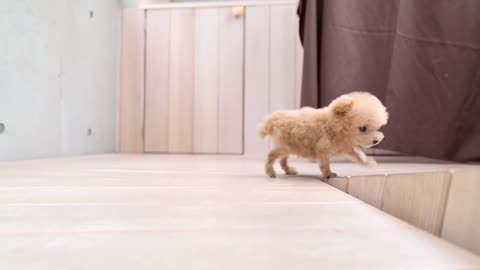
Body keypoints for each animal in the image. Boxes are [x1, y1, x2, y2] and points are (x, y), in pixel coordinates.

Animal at [256, 92, 388, 178]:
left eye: (377, 127)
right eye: (363, 128)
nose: (376, 141)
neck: (334, 126)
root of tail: (274, 119)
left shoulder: (346, 148)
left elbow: (358, 155)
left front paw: (368, 162)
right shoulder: (323, 149)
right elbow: (325, 163)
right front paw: (328, 174)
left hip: (290, 146)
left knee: (283, 159)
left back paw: (289, 170)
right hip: (284, 146)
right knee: (271, 154)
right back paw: (270, 171)